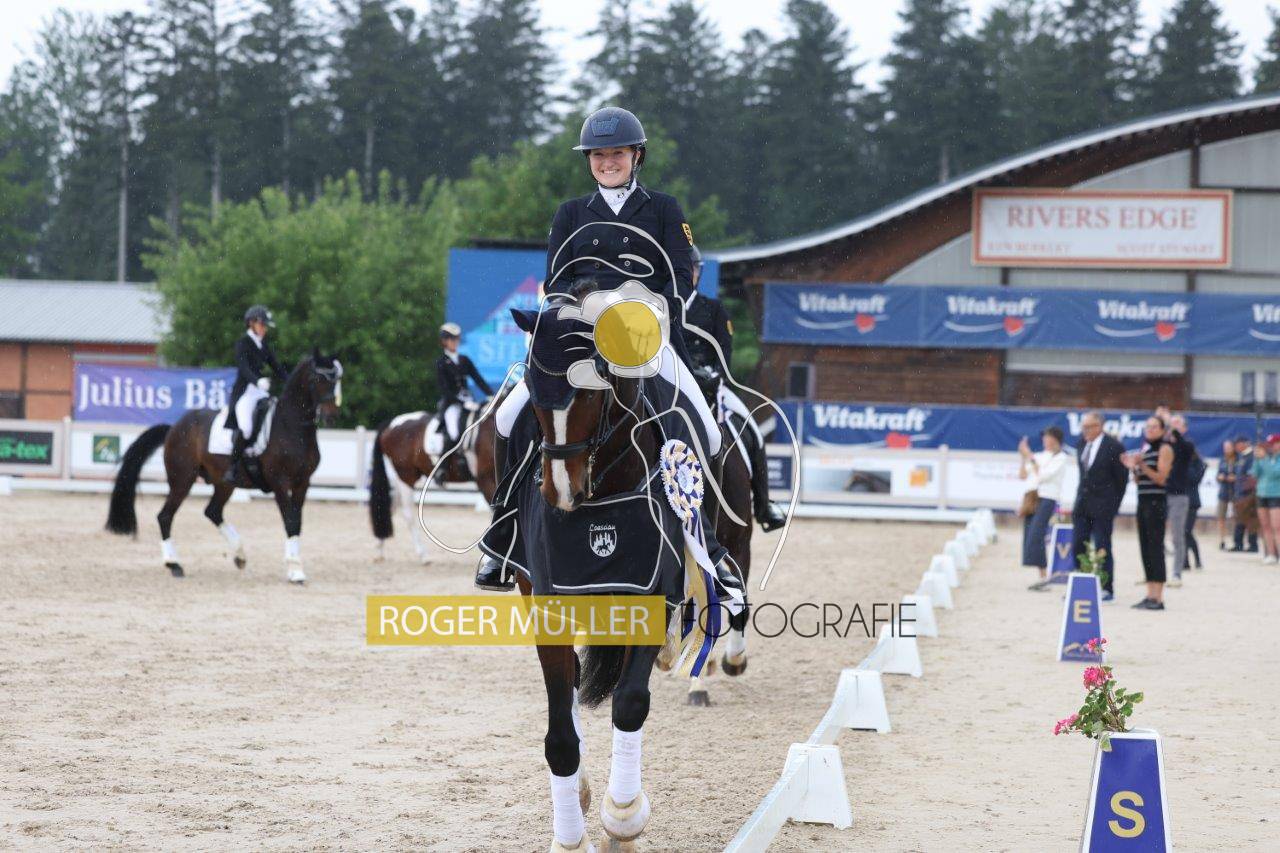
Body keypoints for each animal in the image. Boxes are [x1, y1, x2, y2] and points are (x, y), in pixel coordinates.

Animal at [105, 351, 343, 584]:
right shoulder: (280, 483)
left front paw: (295, 568)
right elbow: (290, 522)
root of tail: (174, 427)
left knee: (212, 511)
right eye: (317, 379)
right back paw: (174, 564)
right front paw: (295, 571)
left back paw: (239, 555)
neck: (291, 427)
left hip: (223, 483)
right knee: (165, 516)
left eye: (336, 380)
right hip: (182, 480)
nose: (331, 417)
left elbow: (297, 523)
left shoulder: (303, 483)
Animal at [367, 389, 505, 563]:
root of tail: (393, 423)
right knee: (408, 514)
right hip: (406, 476)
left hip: (401, 478)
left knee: (390, 508)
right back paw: (423, 555)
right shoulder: (485, 479)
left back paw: (379, 550)